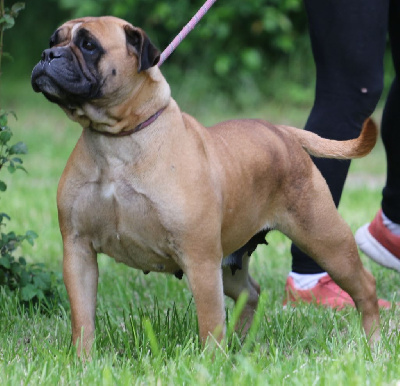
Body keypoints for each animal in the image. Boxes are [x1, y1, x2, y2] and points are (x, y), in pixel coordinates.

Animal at [31, 16, 382, 354]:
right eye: (53, 40)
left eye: (88, 45)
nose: (47, 54)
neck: (116, 140)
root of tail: (281, 131)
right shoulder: (78, 250)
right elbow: (83, 319)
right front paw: (83, 361)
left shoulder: (199, 259)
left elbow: (210, 323)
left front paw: (210, 363)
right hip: (231, 263)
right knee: (250, 293)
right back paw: (243, 344)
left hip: (326, 242)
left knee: (365, 286)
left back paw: (372, 342)